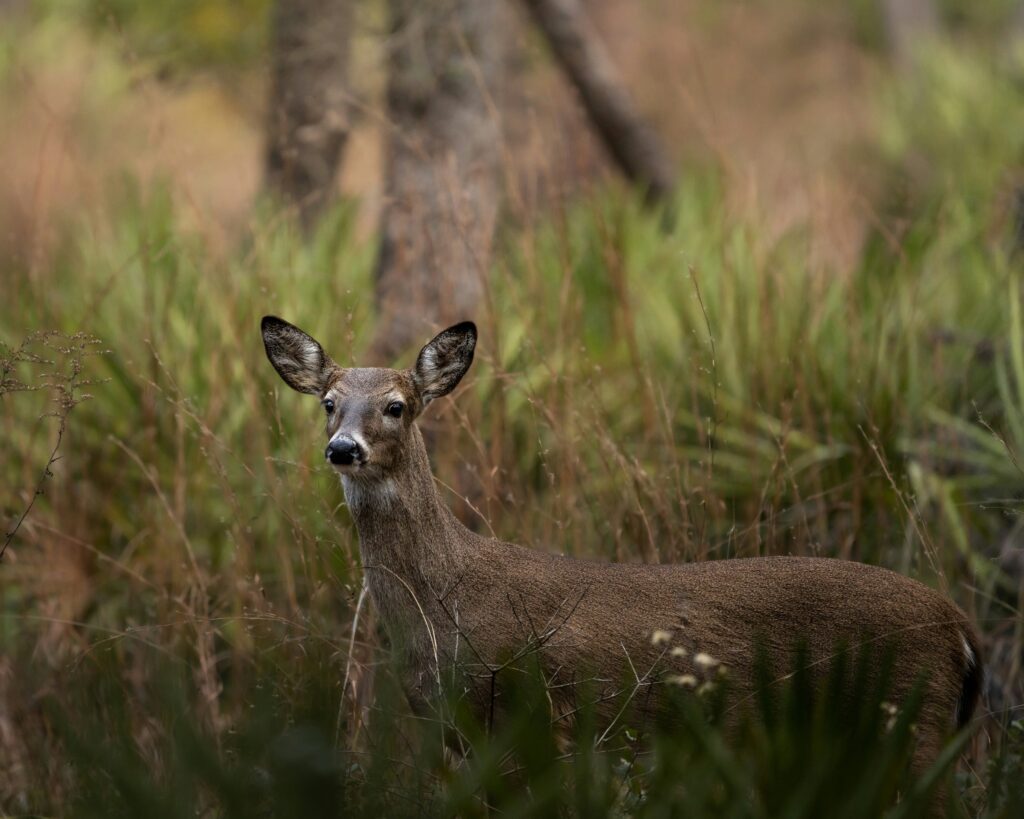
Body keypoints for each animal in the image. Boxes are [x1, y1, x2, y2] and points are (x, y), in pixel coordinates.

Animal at [261, 315, 982, 786]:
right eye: (328, 403)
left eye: (396, 406)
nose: (343, 448)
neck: (446, 603)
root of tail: (962, 629)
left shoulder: (522, 718)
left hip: (910, 720)